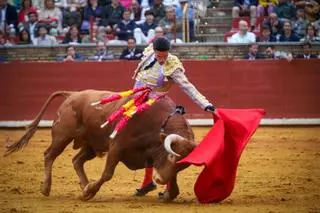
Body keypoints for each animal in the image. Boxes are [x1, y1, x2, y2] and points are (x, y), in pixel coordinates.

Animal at [5, 89, 198, 201]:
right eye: (171, 155)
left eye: (182, 165)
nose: (159, 180)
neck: (157, 122)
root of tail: (72, 94)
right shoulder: (116, 147)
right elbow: (107, 174)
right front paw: (90, 190)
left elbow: (174, 186)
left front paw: (167, 193)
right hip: (62, 136)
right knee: (49, 155)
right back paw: (47, 188)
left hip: (90, 145)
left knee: (77, 160)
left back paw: (84, 187)